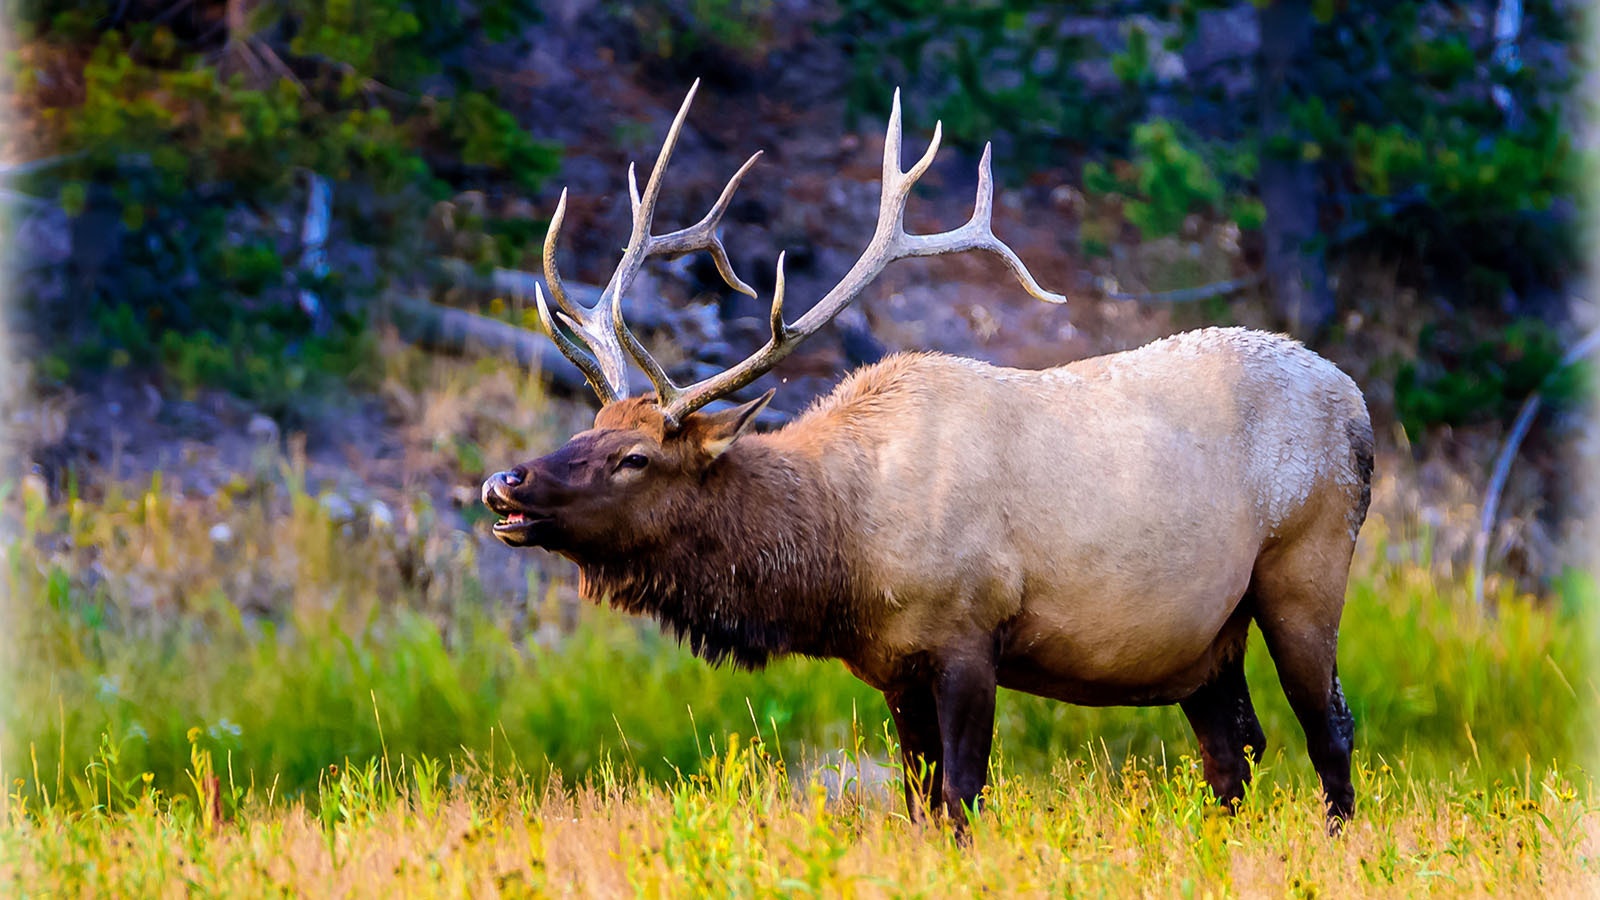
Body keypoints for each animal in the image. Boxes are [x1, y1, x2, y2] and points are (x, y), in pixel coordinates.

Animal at [482, 81, 1374, 834]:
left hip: (1304, 566)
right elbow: (919, 803)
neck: (844, 553)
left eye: (634, 457)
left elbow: (962, 796)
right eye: (589, 424)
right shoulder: (893, 666)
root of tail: (1359, 409)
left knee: (1328, 726)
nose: (502, 483)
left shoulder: (969, 631)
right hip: (1206, 637)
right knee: (1236, 749)